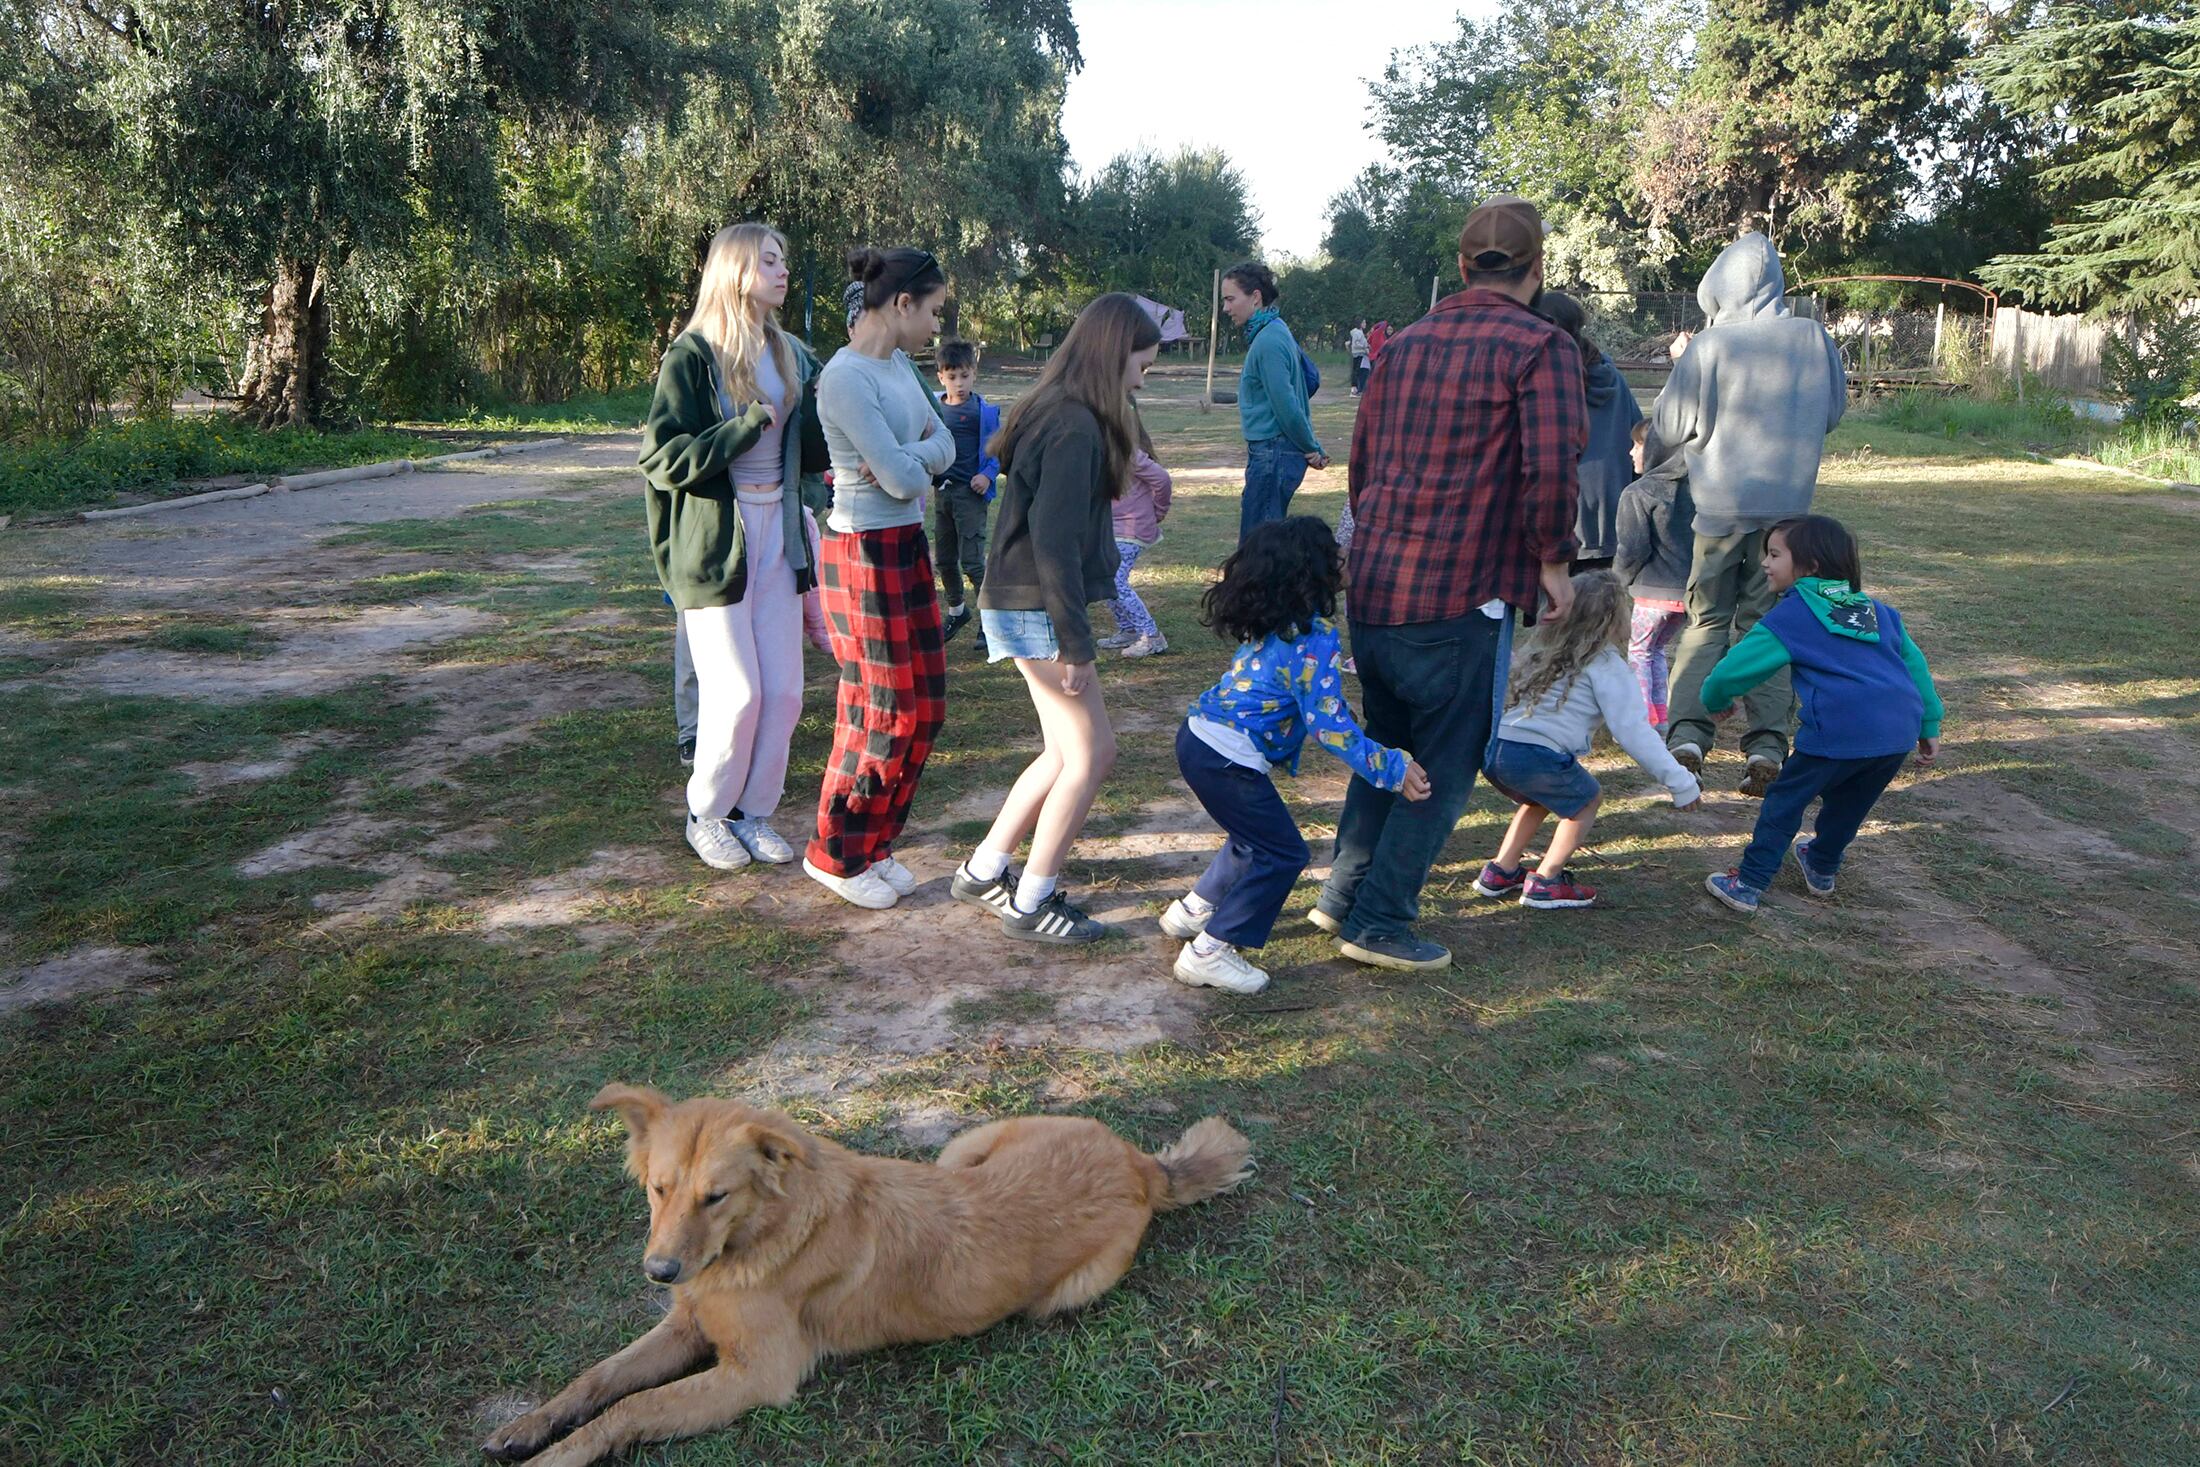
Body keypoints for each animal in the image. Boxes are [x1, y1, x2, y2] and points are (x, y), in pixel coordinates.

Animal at [486, 1086, 1258, 1460]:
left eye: (717, 1195)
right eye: (658, 1187)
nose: (660, 1272)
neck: (763, 1234)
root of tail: (1139, 1163)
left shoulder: (753, 1376)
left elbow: (631, 1408)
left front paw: (554, 1458)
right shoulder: (686, 1326)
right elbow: (599, 1379)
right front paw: (529, 1426)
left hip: (1059, 1290)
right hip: (961, 1149)